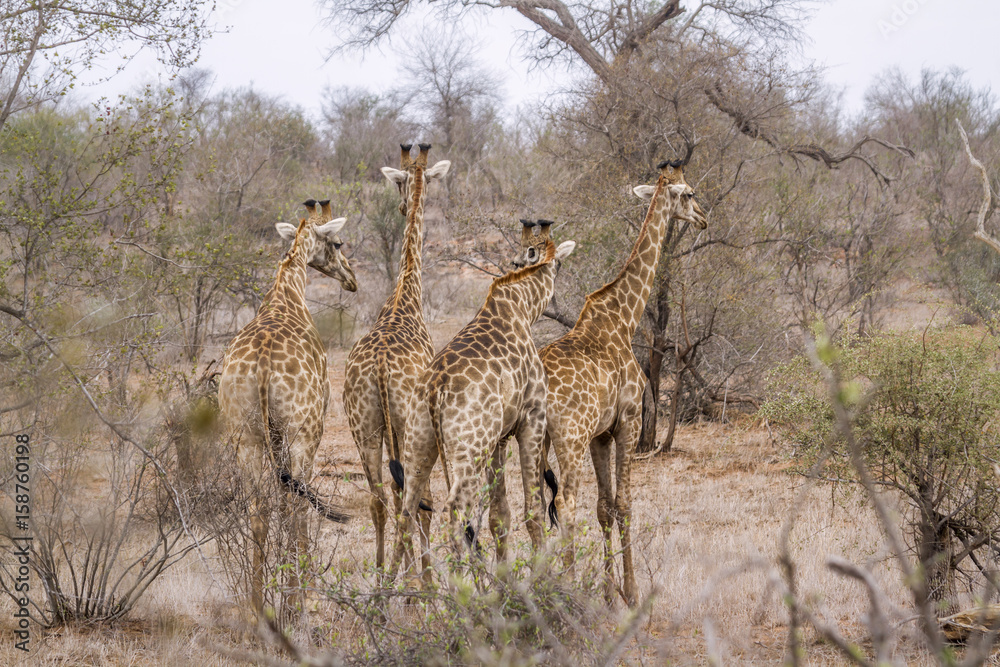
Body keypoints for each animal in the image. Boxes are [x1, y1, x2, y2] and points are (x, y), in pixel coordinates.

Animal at [218, 198, 357, 615]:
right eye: (339, 242)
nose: (351, 279)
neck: (287, 293)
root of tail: (263, 366)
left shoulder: (271, 435)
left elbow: (277, 500)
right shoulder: (307, 429)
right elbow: (295, 502)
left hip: (245, 436)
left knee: (258, 506)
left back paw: (256, 604)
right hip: (303, 432)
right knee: (298, 503)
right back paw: (299, 595)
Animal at [343, 144, 450, 570]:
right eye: (398, 185)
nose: (404, 207)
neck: (406, 291)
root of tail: (378, 369)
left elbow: (391, 491)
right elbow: (420, 501)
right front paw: (418, 571)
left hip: (364, 425)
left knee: (378, 499)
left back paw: (380, 574)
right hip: (407, 426)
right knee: (413, 504)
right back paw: (408, 579)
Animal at [392, 222, 576, 573]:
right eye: (558, 261)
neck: (522, 307)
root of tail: (435, 390)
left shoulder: (500, 437)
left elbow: (499, 514)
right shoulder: (531, 419)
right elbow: (532, 507)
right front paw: (542, 574)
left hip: (420, 440)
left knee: (407, 509)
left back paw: (398, 585)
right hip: (469, 449)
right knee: (453, 513)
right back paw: (459, 584)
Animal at [531, 161, 707, 606]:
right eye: (690, 193)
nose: (704, 218)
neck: (624, 318)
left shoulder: (601, 435)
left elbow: (604, 507)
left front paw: (610, 593)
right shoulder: (626, 419)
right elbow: (624, 504)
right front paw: (631, 593)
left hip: (534, 438)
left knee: (534, 503)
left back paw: (538, 587)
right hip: (568, 438)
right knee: (565, 502)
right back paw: (568, 592)